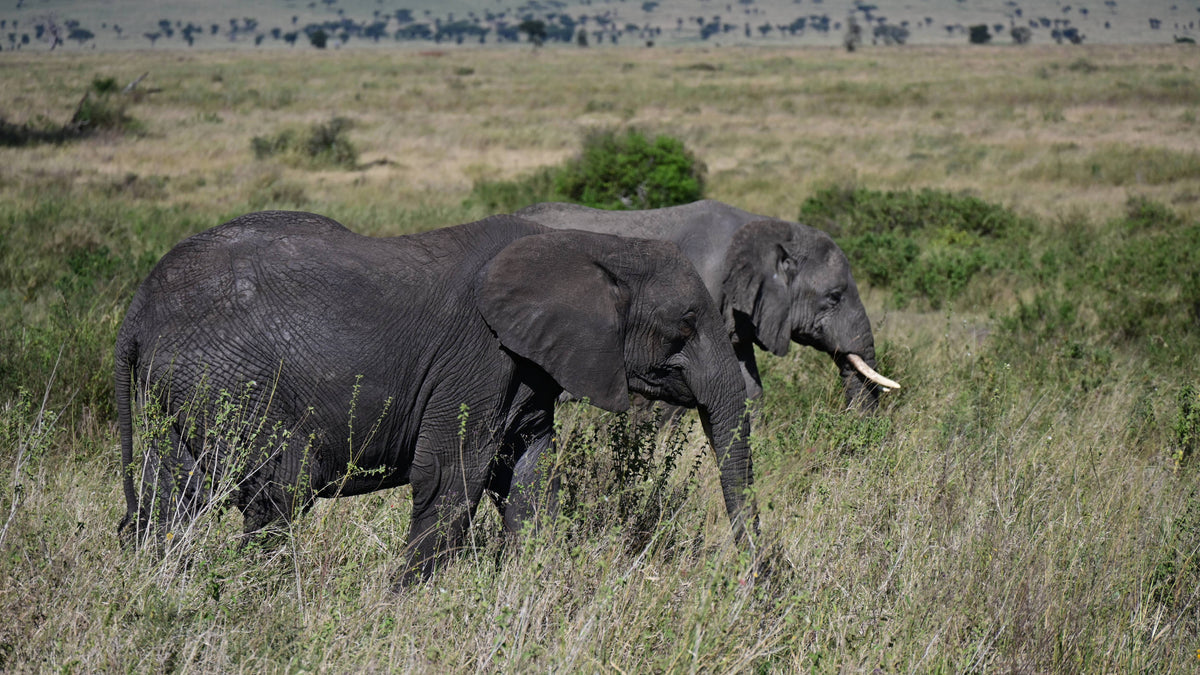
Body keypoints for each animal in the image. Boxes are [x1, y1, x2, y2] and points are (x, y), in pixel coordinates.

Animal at [115, 210, 756, 583]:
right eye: (684, 326)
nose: (759, 579)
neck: (587, 245)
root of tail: (138, 308)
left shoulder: (526, 363)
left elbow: (527, 472)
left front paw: (527, 588)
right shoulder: (477, 355)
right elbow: (452, 474)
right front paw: (402, 602)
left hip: (190, 385)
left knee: (174, 491)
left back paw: (164, 581)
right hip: (228, 376)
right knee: (277, 489)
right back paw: (255, 590)